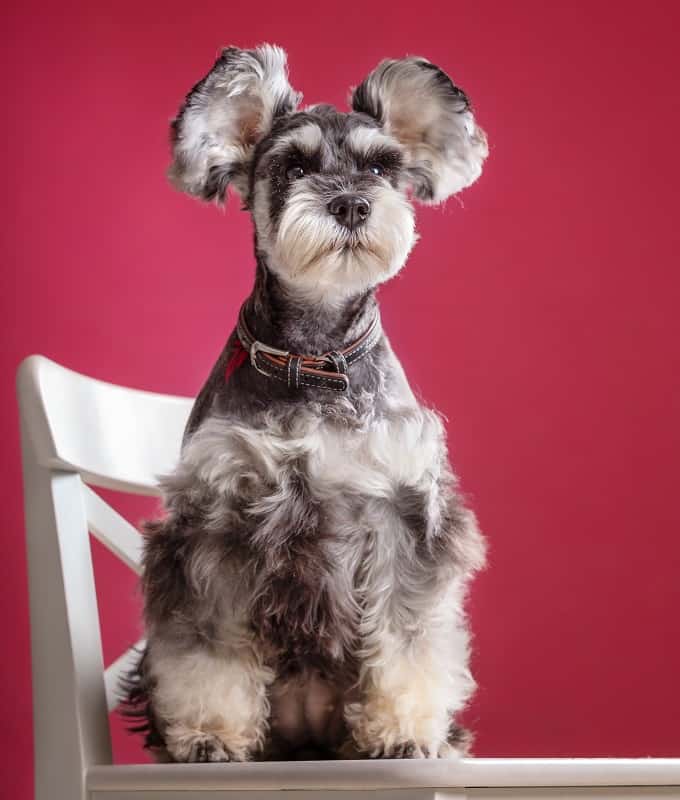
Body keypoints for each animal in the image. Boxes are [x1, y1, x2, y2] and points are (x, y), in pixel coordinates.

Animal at [125, 42, 488, 764]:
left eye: (380, 166)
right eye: (293, 166)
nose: (350, 205)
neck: (314, 356)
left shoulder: (405, 516)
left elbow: (408, 635)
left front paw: (403, 732)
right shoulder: (215, 522)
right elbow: (206, 643)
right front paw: (211, 733)